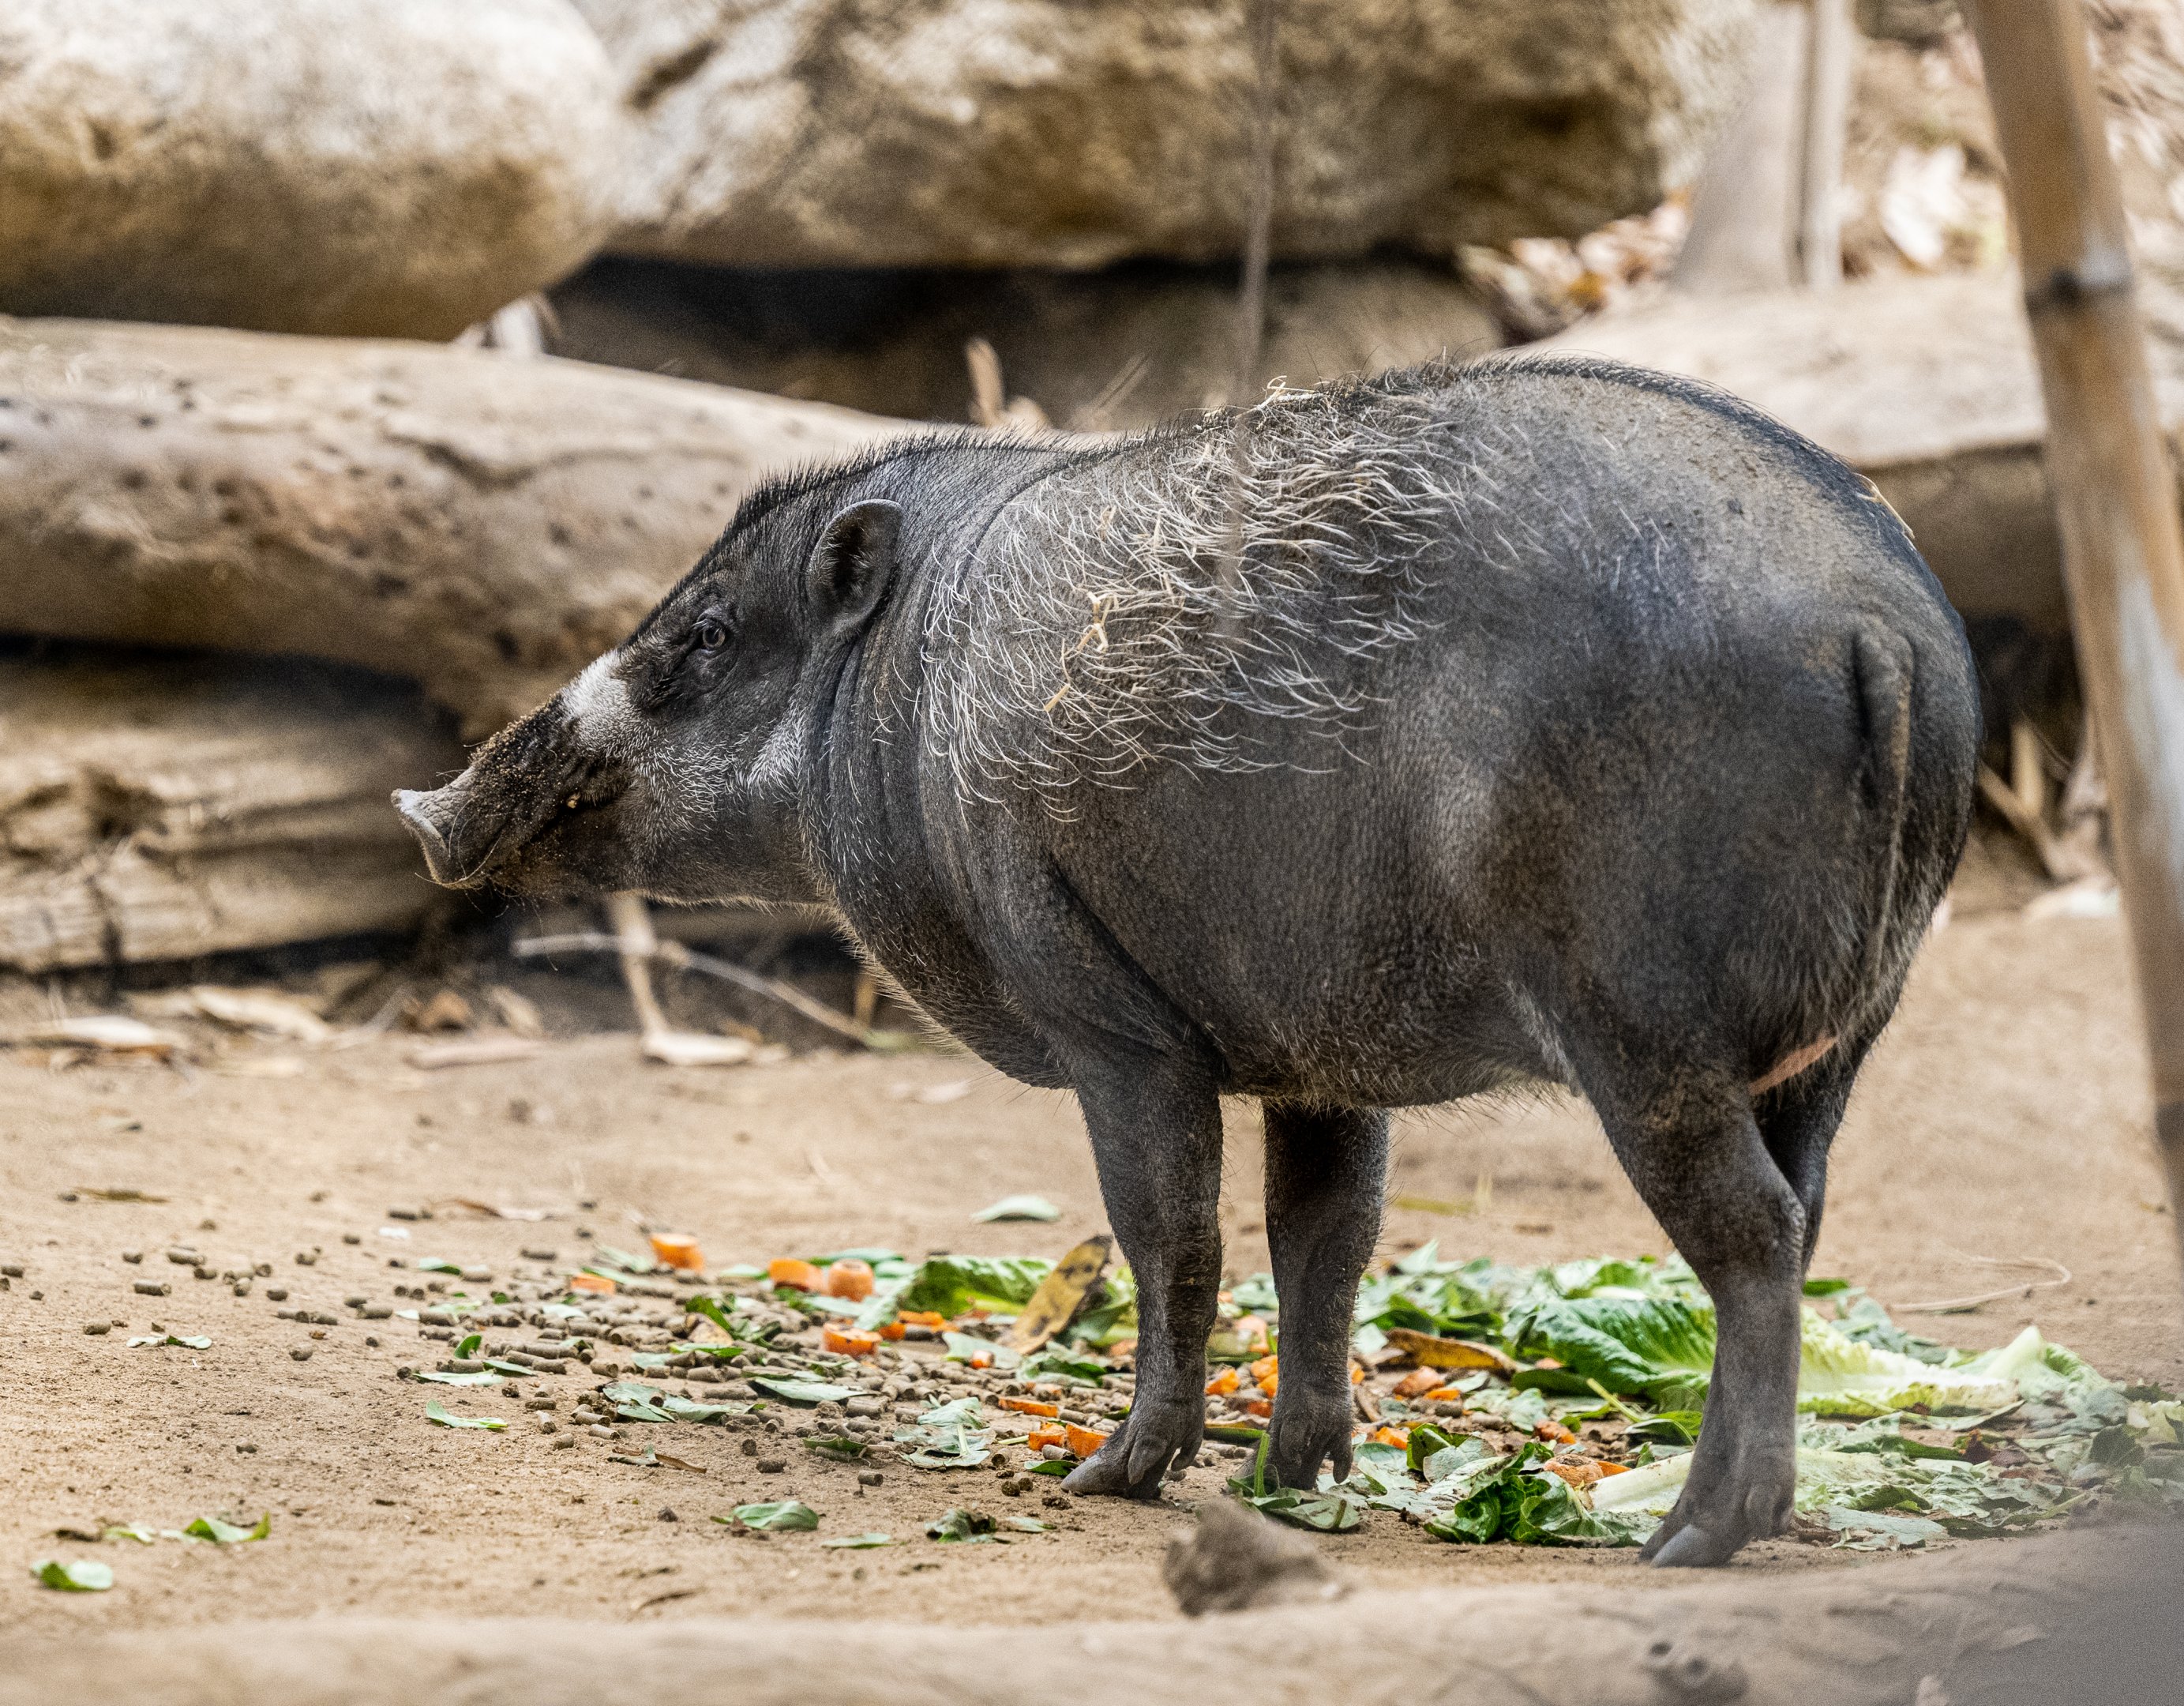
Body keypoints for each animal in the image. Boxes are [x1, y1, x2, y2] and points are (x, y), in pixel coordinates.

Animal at [395, 357, 1978, 1565]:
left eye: (706, 637)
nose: (423, 808)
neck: (907, 688)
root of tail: (1879, 622)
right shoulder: (1323, 1049)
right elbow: (1324, 1238)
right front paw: (1297, 1484)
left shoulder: (1111, 1020)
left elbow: (1173, 1236)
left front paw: (1105, 1479)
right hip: (1848, 1030)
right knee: (1804, 1219)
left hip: (1637, 1019)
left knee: (1752, 1235)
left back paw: (1689, 1541)